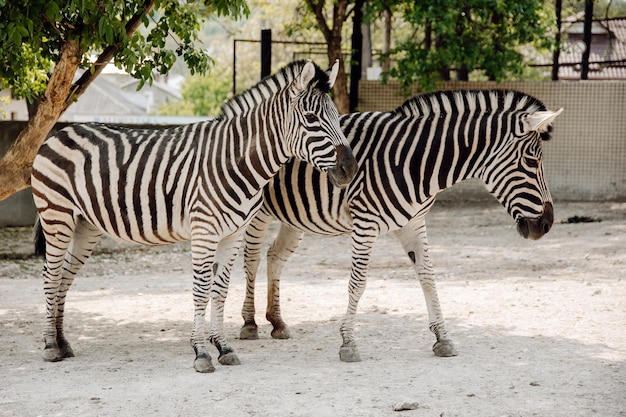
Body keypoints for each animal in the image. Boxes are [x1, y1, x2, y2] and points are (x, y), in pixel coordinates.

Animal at [30, 59, 356, 374]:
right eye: (311, 119)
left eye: (337, 117)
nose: (350, 169)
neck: (236, 160)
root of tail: (60, 132)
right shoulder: (204, 231)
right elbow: (201, 290)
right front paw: (200, 352)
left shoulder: (233, 234)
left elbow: (221, 289)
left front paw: (223, 347)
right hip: (57, 216)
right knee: (50, 275)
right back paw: (50, 347)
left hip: (85, 226)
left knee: (64, 277)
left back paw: (63, 342)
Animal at [235, 90, 560, 360]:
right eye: (532, 162)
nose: (547, 224)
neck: (415, 164)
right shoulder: (365, 223)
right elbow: (357, 283)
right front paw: (348, 342)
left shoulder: (413, 223)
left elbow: (428, 278)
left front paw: (443, 338)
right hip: (256, 213)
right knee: (251, 259)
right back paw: (250, 323)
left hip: (294, 217)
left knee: (275, 257)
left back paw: (277, 322)